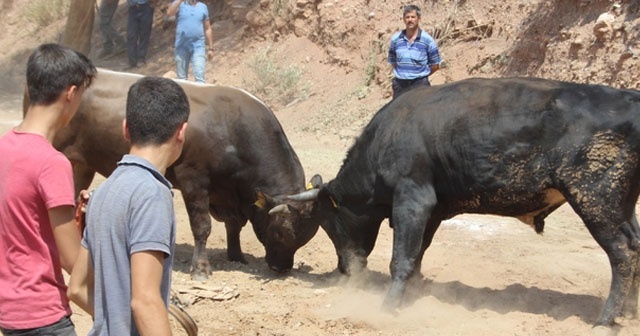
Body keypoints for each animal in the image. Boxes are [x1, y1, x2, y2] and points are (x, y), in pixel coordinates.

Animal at [44, 67, 318, 278]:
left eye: (306, 237)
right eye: (280, 231)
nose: (281, 268)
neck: (231, 128)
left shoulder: (227, 193)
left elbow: (234, 225)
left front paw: (236, 255)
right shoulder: (194, 179)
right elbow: (202, 226)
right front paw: (201, 268)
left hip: (80, 166)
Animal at [276, 77, 640, 326]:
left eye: (328, 222)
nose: (345, 269)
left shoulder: (412, 199)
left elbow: (401, 258)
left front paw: (388, 307)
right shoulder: (433, 210)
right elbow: (418, 254)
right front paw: (414, 295)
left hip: (596, 199)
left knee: (622, 254)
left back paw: (606, 320)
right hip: (621, 205)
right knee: (635, 246)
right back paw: (630, 311)